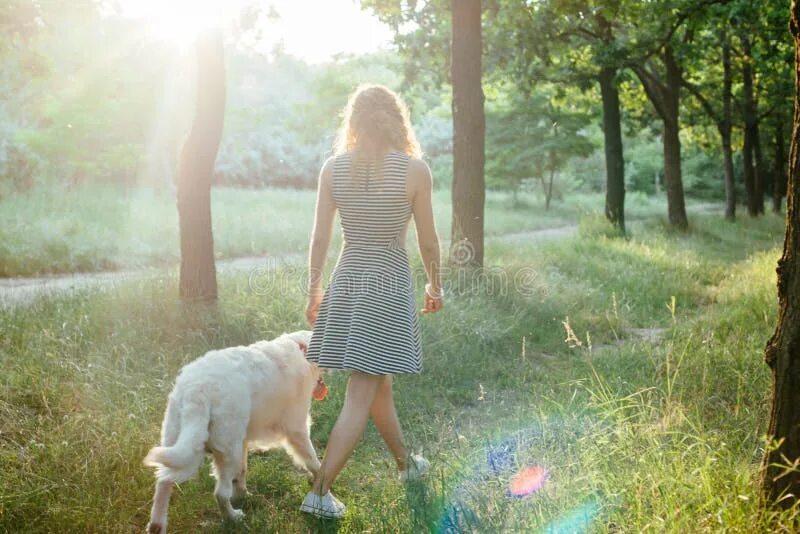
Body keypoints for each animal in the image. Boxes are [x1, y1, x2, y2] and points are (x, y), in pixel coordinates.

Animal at [144, 332, 322, 532]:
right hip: (225, 452)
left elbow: (242, 472)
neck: (299, 347)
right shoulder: (297, 429)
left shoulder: (242, 442)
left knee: (162, 483)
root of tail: (197, 389)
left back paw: (157, 526)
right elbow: (315, 463)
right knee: (220, 493)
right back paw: (233, 517)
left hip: (182, 444)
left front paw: (243, 495)